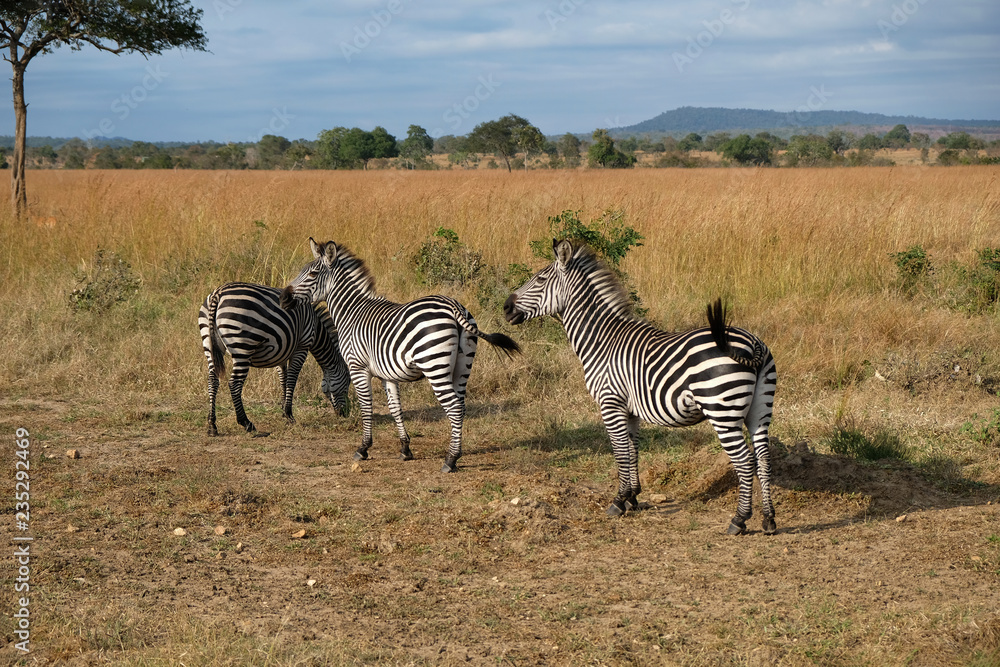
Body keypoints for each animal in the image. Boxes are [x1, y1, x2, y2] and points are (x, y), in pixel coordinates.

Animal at [200, 282, 350, 437]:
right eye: (349, 381)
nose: (345, 413)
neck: (315, 326)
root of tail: (218, 293)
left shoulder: (281, 351)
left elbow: (283, 379)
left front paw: (284, 411)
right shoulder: (302, 346)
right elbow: (291, 380)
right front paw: (289, 414)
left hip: (209, 343)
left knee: (213, 381)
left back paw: (212, 425)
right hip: (242, 346)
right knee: (234, 383)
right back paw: (246, 423)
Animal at [280, 238, 521, 472]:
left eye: (312, 274)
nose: (283, 298)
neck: (352, 312)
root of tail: (454, 306)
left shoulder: (358, 367)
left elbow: (366, 406)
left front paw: (363, 448)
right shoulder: (388, 373)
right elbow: (395, 408)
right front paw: (405, 449)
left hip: (435, 365)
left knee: (453, 407)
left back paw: (450, 460)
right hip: (463, 366)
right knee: (460, 406)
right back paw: (454, 453)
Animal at [503, 240, 777, 535]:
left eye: (540, 279)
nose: (506, 307)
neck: (601, 340)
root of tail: (753, 344)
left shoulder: (610, 402)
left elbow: (620, 452)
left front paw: (618, 501)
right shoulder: (630, 409)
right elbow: (633, 448)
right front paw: (633, 497)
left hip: (722, 410)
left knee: (745, 462)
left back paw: (739, 519)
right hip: (760, 409)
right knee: (763, 458)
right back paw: (769, 519)